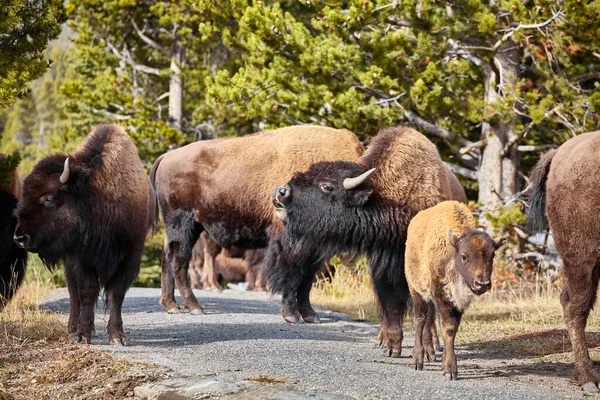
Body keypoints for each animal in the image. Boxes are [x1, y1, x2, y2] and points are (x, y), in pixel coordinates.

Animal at [14, 124, 156, 344]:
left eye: (49, 198)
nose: (20, 237)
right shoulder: (82, 257)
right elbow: (87, 292)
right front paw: (81, 335)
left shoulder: (130, 255)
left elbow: (116, 294)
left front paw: (117, 336)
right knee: (74, 293)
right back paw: (72, 328)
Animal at [150, 125, 364, 316]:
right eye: (327, 188)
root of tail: (166, 157)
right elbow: (291, 275)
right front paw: (292, 315)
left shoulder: (314, 249)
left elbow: (306, 280)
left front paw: (310, 315)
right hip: (183, 224)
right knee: (179, 260)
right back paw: (194, 306)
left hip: (182, 228)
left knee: (168, 256)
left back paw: (171, 305)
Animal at [274, 126, 466, 356]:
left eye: (326, 186)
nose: (281, 192)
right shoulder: (382, 266)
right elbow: (390, 304)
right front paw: (391, 346)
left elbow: (424, 311)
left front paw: (426, 349)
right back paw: (382, 339)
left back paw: (435, 345)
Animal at [406, 202, 504, 380]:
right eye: (464, 256)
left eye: (492, 255)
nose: (482, 284)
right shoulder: (441, 297)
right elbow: (448, 327)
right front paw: (450, 370)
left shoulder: (458, 303)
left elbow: (453, 329)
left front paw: (446, 365)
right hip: (416, 290)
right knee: (420, 320)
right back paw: (417, 361)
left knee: (428, 318)